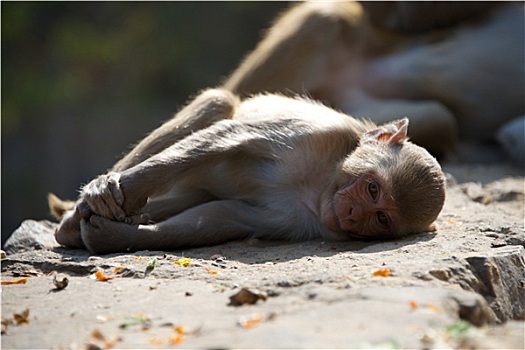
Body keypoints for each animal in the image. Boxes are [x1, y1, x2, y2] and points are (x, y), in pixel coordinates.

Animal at [49, 89, 444, 253]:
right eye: (372, 188)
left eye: (381, 219)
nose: (350, 213)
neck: (320, 186)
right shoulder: (318, 134)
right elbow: (228, 137)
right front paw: (99, 198)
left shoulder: (304, 223)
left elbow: (219, 217)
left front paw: (113, 238)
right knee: (218, 102)